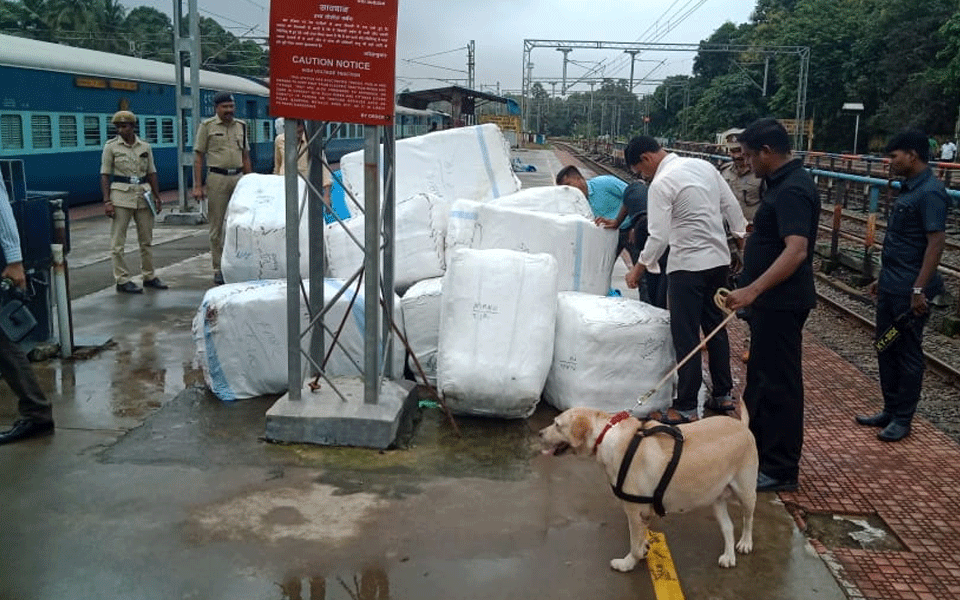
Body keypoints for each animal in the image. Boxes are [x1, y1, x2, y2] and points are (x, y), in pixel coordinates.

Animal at [540, 406, 756, 568]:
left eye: (557, 425)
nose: (540, 433)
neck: (606, 435)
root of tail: (742, 425)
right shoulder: (645, 512)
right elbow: (641, 538)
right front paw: (643, 547)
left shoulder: (634, 511)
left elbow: (634, 546)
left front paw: (627, 564)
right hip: (716, 496)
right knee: (728, 527)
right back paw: (729, 556)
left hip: (746, 492)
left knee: (748, 519)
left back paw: (745, 543)